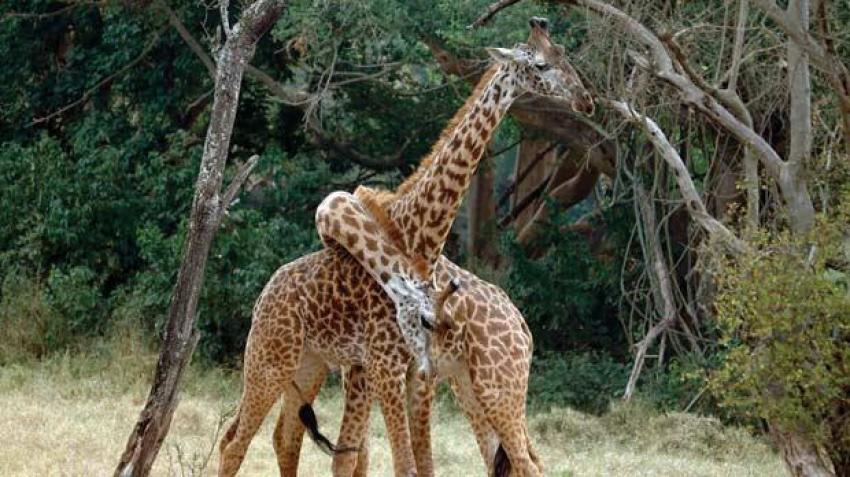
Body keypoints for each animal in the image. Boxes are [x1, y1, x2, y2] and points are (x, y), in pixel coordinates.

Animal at [217, 17, 593, 477]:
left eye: (566, 57)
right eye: (541, 64)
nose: (586, 101)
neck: (417, 235)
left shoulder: (410, 370)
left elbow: (407, 463)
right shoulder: (386, 364)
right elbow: (401, 463)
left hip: (329, 367)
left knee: (282, 437)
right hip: (274, 357)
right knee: (238, 440)